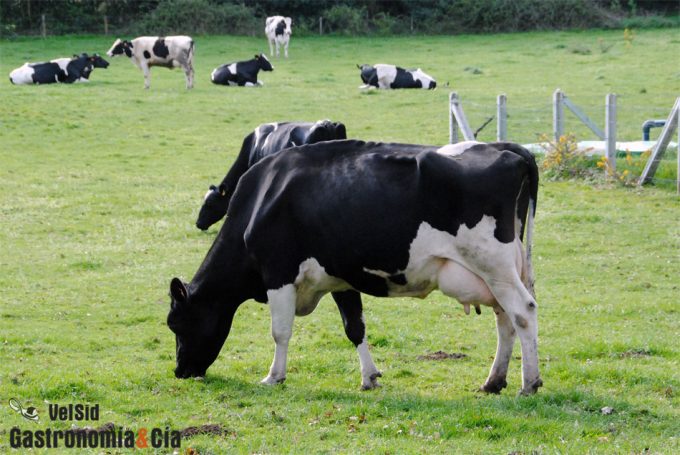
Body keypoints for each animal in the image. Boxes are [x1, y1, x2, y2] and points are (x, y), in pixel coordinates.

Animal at [167, 140, 542, 396]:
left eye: (177, 324)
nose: (180, 371)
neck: (262, 198)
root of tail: (505, 147)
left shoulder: (278, 273)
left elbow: (280, 331)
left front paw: (274, 376)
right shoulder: (341, 277)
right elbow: (355, 327)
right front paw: (369, 377)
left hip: (493, 264)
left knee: (523, 312)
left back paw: (529, 383)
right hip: (500, 272)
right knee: (505, 319)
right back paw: (494, 381)